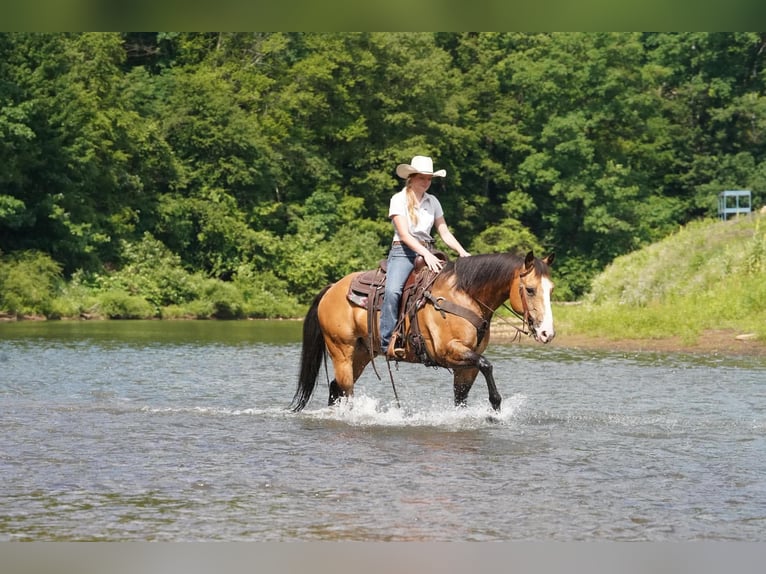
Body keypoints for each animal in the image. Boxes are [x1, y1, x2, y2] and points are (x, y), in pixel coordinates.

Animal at [290, 250, 555, 412]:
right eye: (530, 289)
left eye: (551, 289)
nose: (547, 333)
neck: (465, 296)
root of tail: (332, 288)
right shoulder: (448, 352)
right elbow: (487, 365)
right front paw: (496, 405)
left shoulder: (466, 364)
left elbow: (462, 395)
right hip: (341, 350)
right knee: (345, 389)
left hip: (362, 354)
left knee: (336, 388)